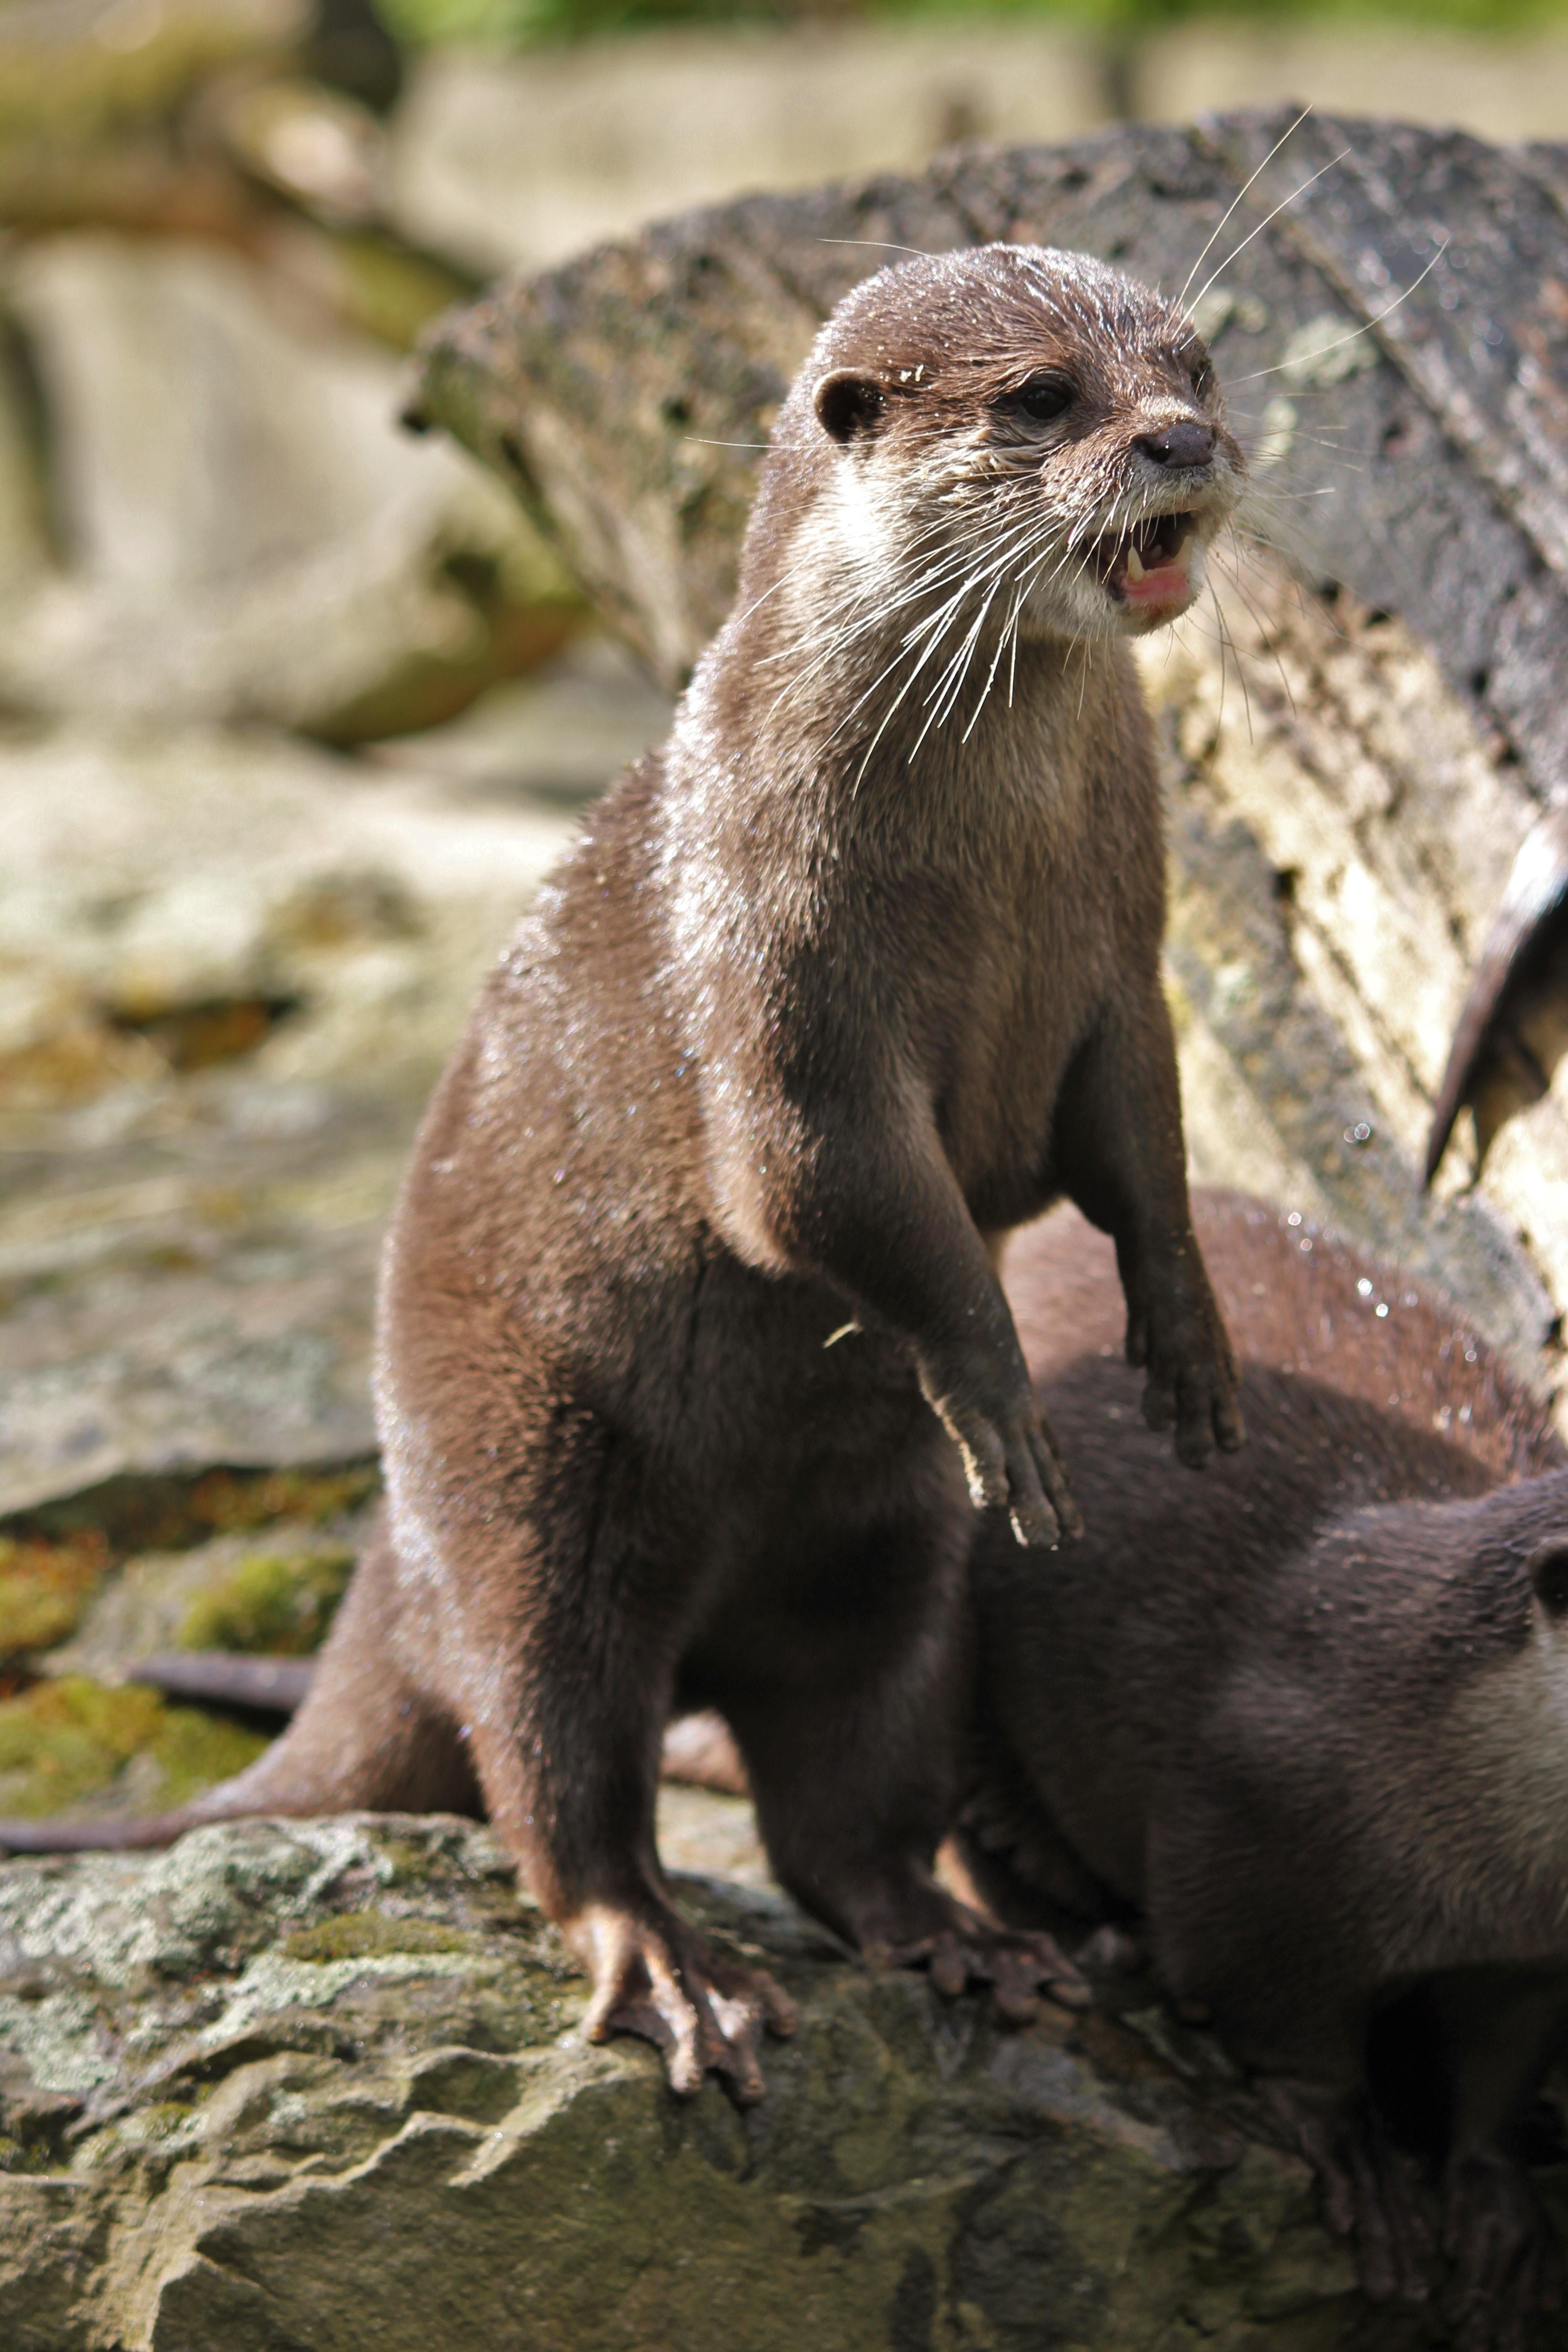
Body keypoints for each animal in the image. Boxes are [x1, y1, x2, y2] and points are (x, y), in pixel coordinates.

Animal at [3, 243, 1250, 2098]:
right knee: (556, 1759)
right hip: (523, 1481)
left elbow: (1143, 1152)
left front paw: (1187, 1344)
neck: (993, 848)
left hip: (888, 1557)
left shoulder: (1118, 958)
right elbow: (823, 1190)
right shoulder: (782, 974)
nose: (1183, 440)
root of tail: (390, 1561)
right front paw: (1009, 1392)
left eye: (1198, 364)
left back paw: (962, 1941)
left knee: (846, 1796)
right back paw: (676, 1972)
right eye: (1043, 398)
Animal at [964, 1195, 1568, 2352]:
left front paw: (1495, 2200)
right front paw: (1350, 2149)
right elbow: (1265, 1996)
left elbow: (1503, 2055)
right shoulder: (1253, 1811)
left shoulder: (1527, 1955)